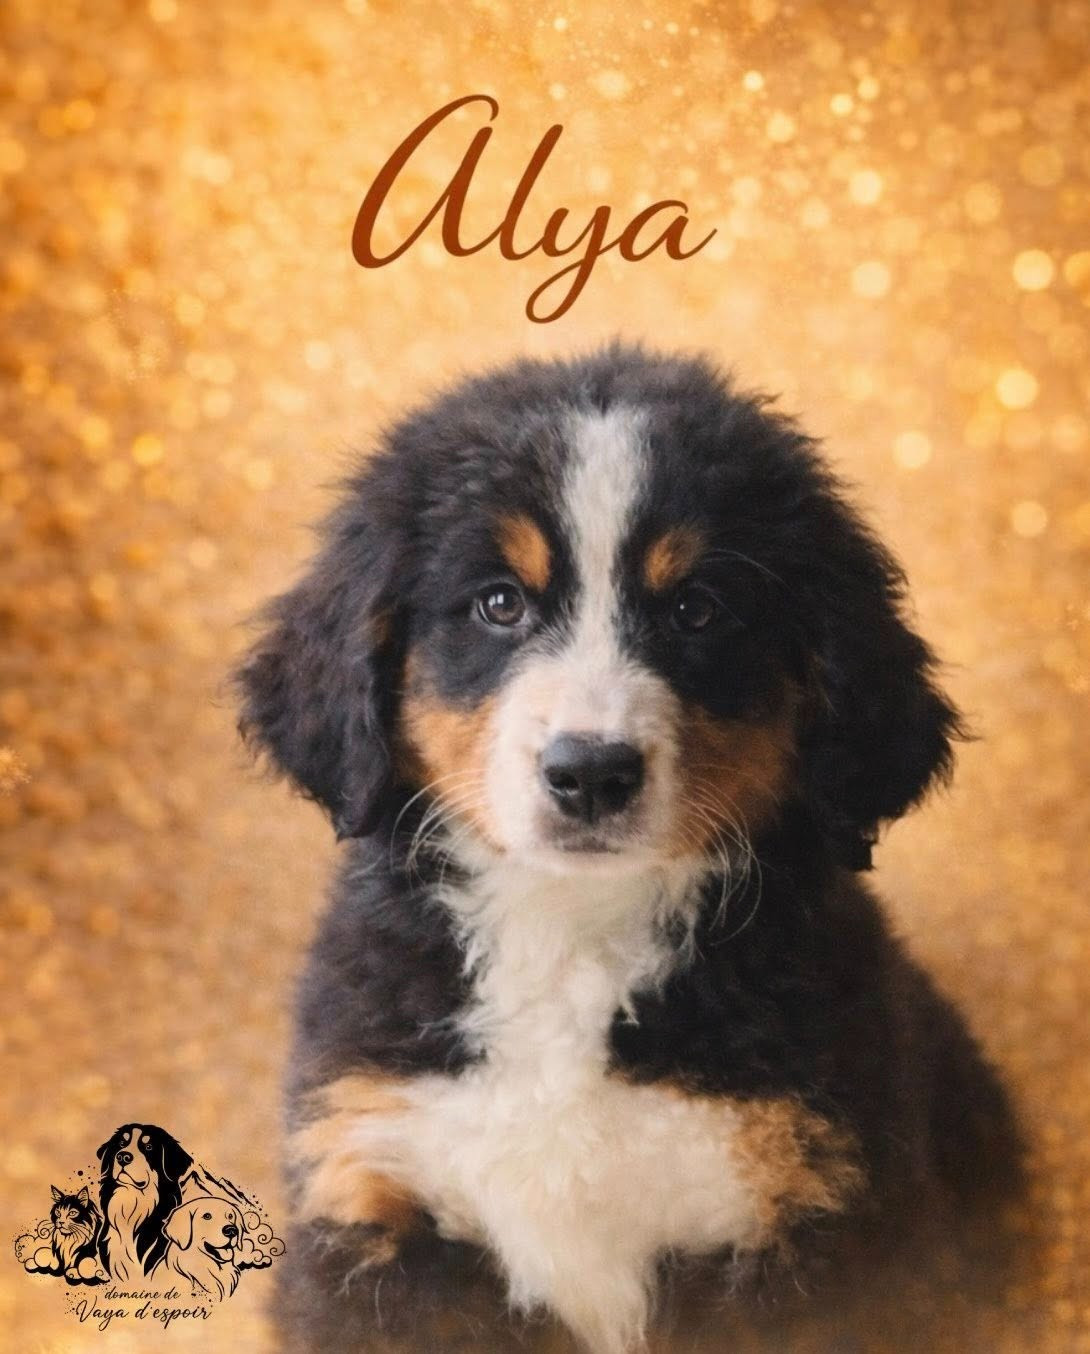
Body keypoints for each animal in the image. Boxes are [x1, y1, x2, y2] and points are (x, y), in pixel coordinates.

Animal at [237, 345, 1024, 1353]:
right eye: (499, 603)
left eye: (696, 609)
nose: (591, 772)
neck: (573, 934)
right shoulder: (373, 1188)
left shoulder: (813, 1216)